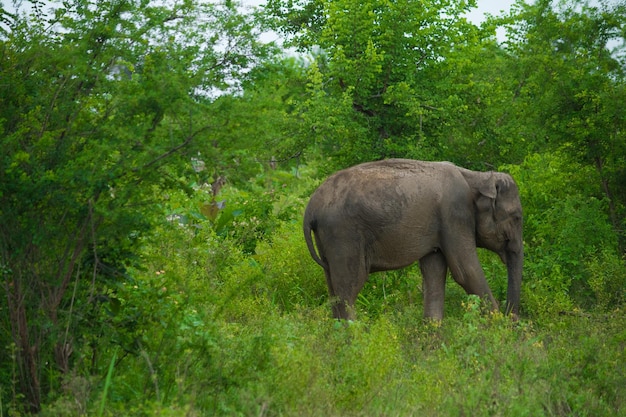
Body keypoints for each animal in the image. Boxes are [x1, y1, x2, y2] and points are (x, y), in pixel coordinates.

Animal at [302, 158, 520, 320]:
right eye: (517, 217)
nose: (512, 318)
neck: (476, 176)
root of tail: (311, 208)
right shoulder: (455, 214)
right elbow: (466, 272)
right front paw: (500, 331)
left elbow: (434, 271)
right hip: (343, 235)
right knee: (348, 288)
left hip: (328, 238)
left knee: (333, 287)